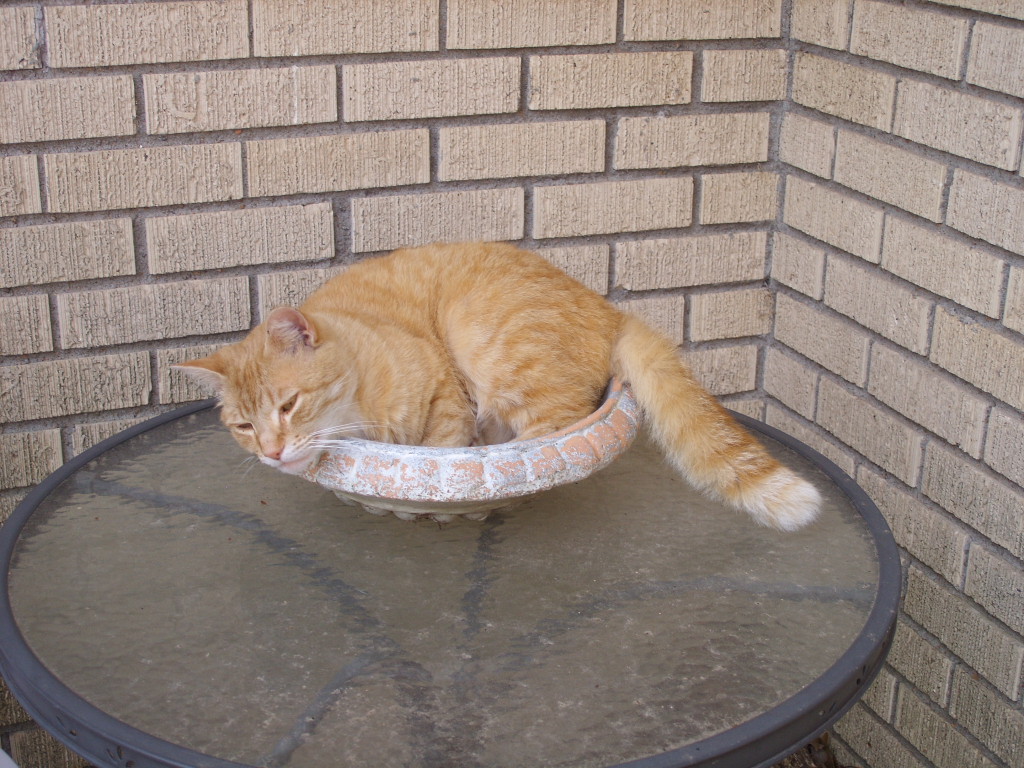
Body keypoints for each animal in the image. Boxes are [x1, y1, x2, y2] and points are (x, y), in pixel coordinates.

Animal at [176, 242, 820, 531]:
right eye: (243, 426)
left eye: (289, 405)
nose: (272, 452)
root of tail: (608, 308)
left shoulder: (445, 408)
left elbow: (442, 456)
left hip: (491, 343)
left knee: (547, 439)